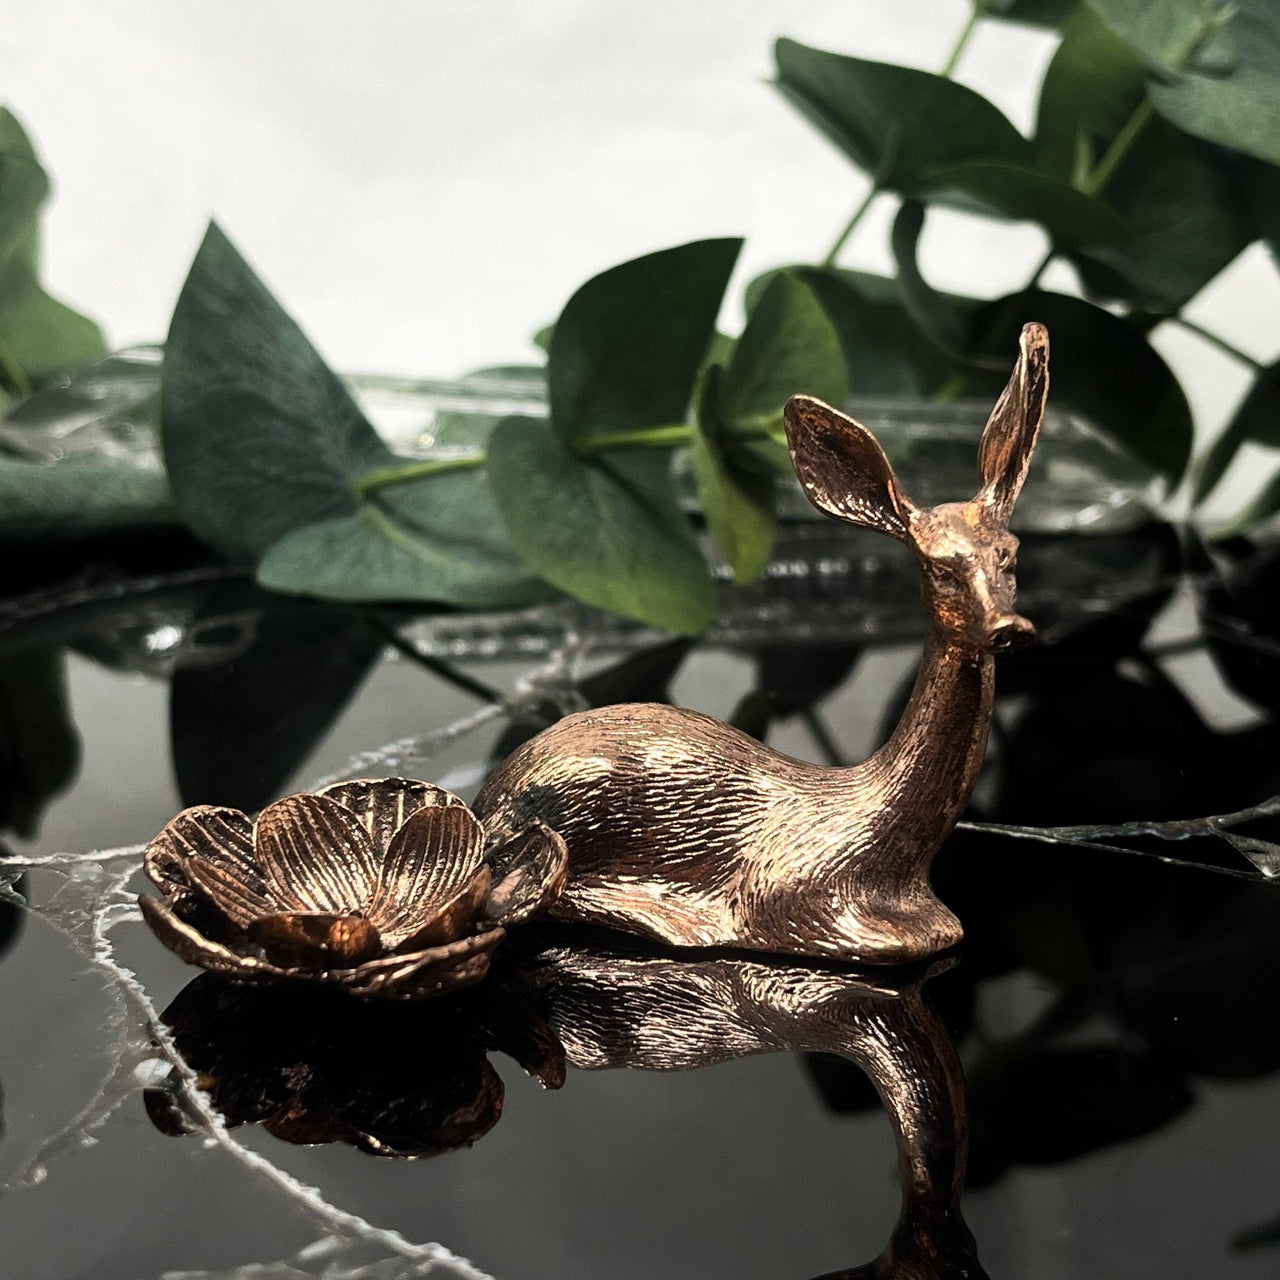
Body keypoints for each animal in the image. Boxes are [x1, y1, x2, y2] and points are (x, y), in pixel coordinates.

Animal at [475, 323, 1048, 965]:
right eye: (940, 567)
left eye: (1010, 554)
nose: (1010, 627)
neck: (884, 853)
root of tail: (489, 799)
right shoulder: (783, 890)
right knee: (524, 895)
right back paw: (671, 917)